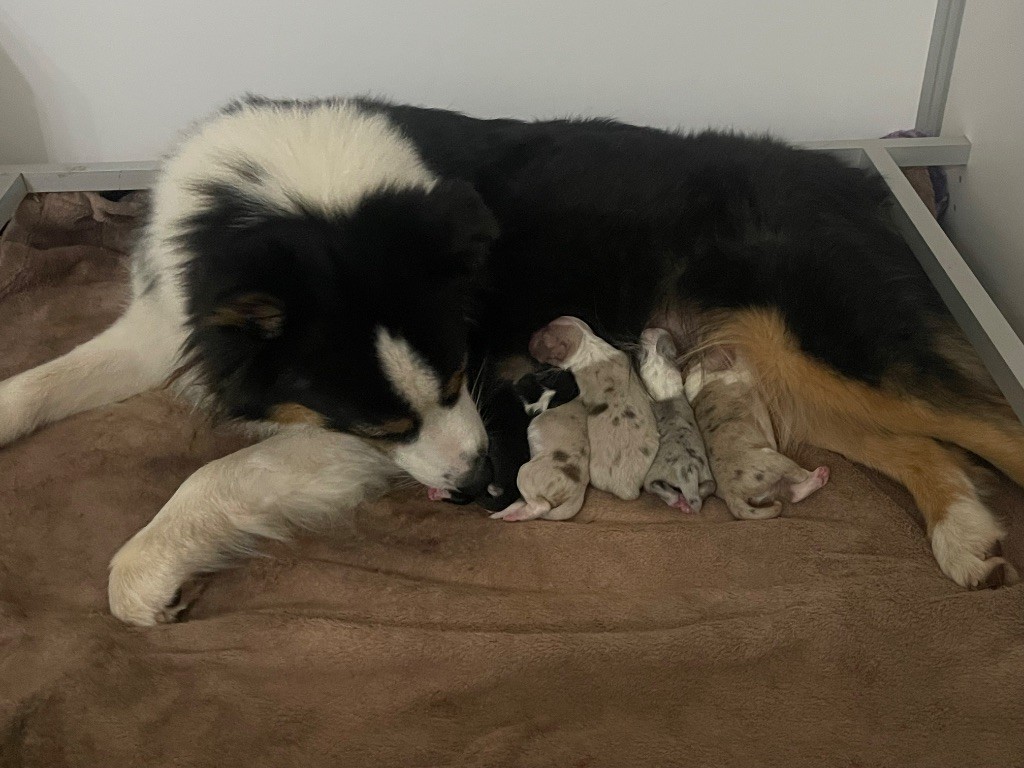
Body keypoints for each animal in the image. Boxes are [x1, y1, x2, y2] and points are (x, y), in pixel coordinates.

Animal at [634, 325, 716, 512]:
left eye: (642, 355)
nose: (650, 330)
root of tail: (689, 471)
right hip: (707, 476)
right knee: (708, 487)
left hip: (654, 476)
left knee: (659, 488)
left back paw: (676, 500)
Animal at [684, 354, 827, 524]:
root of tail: (731, 494)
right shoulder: (743, 376)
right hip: (773, 459)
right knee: (799, 477)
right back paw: (817, 473)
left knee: (794, 493)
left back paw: (820, 477)